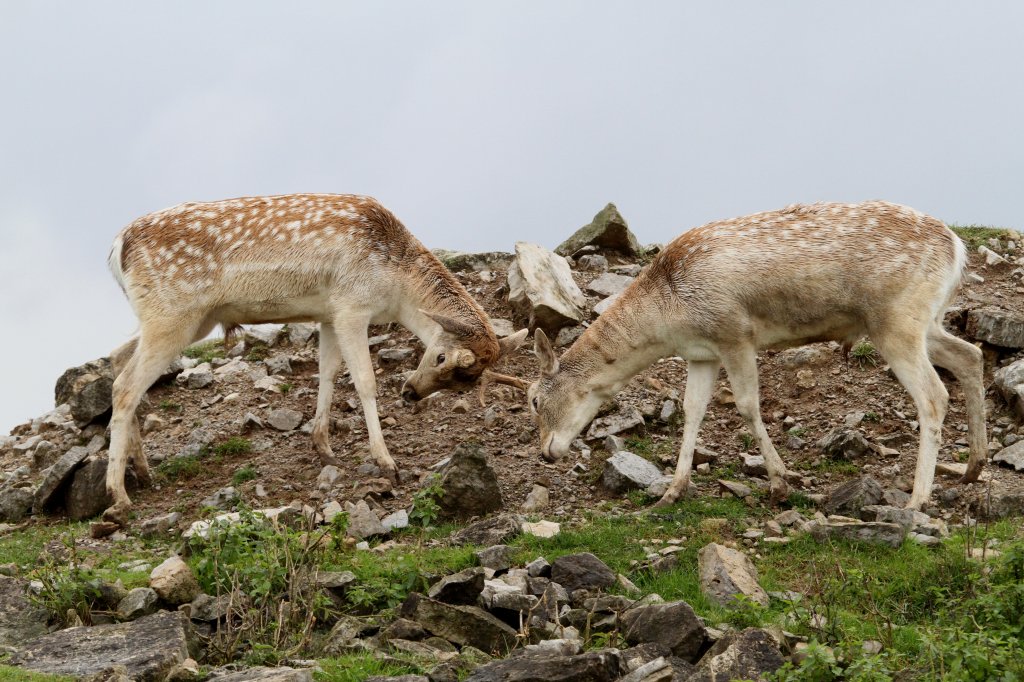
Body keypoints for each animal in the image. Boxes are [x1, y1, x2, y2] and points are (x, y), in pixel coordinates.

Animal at [103, 193, 528, 522]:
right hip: (172, 313)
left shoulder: (328, 313)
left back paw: (143, 473)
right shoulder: (352, 306)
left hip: (185, 319)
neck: (396, 286)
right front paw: (386, 462)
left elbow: (328, 373)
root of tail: (116, 248)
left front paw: (323, 445)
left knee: (117, 358)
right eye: (440, 357)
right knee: (124, 387)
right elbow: (365, 381)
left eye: (463, 382)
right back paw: (117, 495)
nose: (410, 392)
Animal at [528, 199, 983, 507]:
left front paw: (781, 482)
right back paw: (972, 468)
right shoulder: (703, 354)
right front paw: (672, 492)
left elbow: (747, 405)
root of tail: (958, 248)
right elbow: (692, 411)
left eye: (533, 399)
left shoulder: (736, 334)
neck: (669, 316)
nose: (546, 451)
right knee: (971, 355)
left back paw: (918, 499)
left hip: (896, 322)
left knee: (934, 395)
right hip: (927, 322)